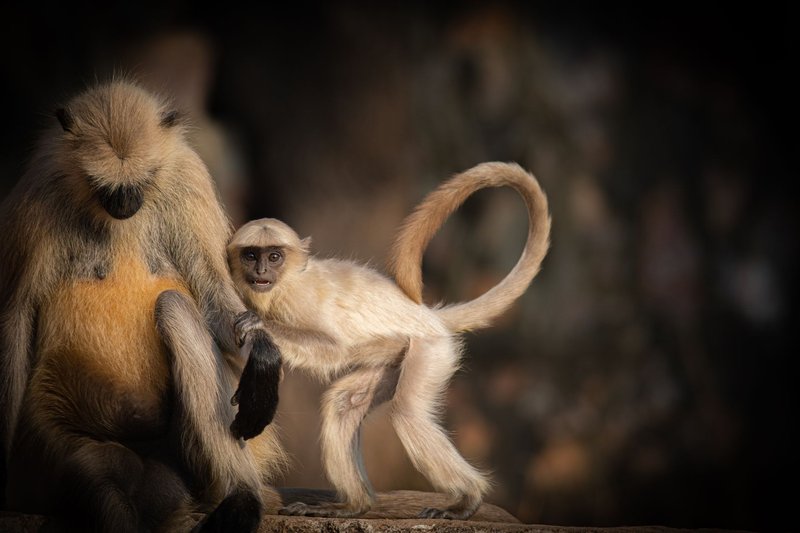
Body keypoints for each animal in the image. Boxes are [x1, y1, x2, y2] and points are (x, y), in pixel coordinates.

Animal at [0, 80, 285, 532]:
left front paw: (263, 355)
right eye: (104, 188)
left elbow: (210, 296)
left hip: (190, 467)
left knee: (174, 307)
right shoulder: (39, 190)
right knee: (94, 479)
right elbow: (15, 315)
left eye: (144, 180)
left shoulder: (187, 176)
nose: (124, 204)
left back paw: (242, 500)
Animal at [228, 161, 551, 520]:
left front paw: (261, 326)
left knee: (406, 412)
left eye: (274, 257)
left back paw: (468, 498)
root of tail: (428, 316)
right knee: (343, 405)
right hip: (393, 359)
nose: (260, 271)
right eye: (251, 255)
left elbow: (333, 348)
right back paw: (353, 505)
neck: (285, 283)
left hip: (430, 349)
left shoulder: (300, 299)